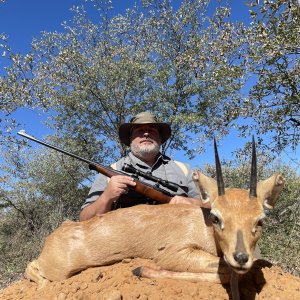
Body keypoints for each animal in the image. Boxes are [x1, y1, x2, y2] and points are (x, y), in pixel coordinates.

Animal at [25, 139, 284, 300]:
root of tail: (58, 232)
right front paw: (141, 269)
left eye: (260, 220)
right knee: (31, 267)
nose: (240, 257)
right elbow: (226, 272)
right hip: (59, 270)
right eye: (216, 217)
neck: (204, 228)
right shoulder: (174, 255)